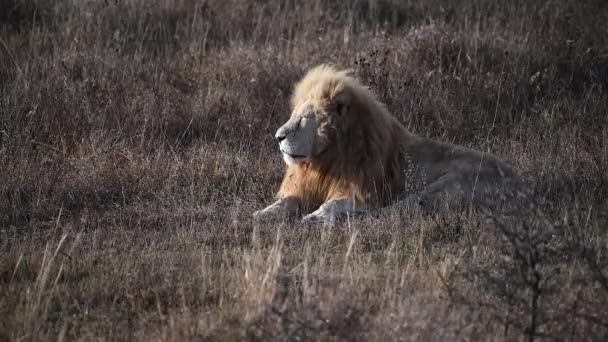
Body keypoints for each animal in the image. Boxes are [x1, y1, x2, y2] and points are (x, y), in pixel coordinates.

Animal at [253, 65, 516, 223]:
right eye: (293, 115)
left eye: (304, 119)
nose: (278, 137)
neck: (326, 160)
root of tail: (520, 182)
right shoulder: (308, 188)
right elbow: (284, 202)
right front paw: (261, 215)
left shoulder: (365, 193)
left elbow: (334, 204)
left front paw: (314, 217)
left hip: (445, 186)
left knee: (395, 211)